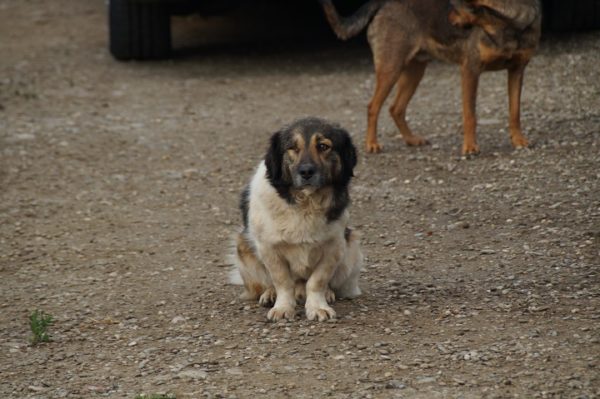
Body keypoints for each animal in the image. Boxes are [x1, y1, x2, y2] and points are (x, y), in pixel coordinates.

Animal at [229, 118, 360, 322]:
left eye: (323, 146)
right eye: (292, 148)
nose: (306, 171)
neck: (305, 203)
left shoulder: (335, 247)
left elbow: (317, 281)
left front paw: (318, 306)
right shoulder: (269, 249)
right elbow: (282, 281)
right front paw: (283, 307)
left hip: (351, 248)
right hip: (243, 247)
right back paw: (270, 294)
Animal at [318, 0, 544, 156]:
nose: (448, 20)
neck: (504, 23)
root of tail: (384, 2)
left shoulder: (517, 71)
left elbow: (514, 112)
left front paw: (519, 141)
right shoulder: (470, 70)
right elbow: (470, 115)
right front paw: (470, 147)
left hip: (415, 72)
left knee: (395, 108)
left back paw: (411, 139)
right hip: (391, 69)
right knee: (373, 106)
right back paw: (372, 144)